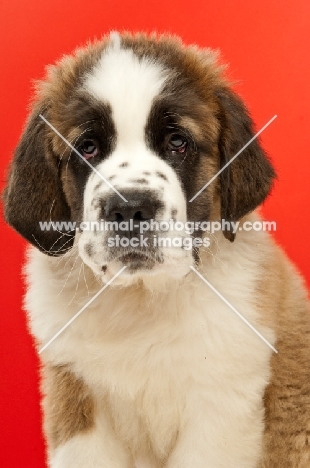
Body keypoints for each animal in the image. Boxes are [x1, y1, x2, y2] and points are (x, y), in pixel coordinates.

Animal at [3, 31, 310, 466]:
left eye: (177, 142)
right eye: (88, 147)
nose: (129, 207)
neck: (143, 298)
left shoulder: (219, 407)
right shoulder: (76, 396)